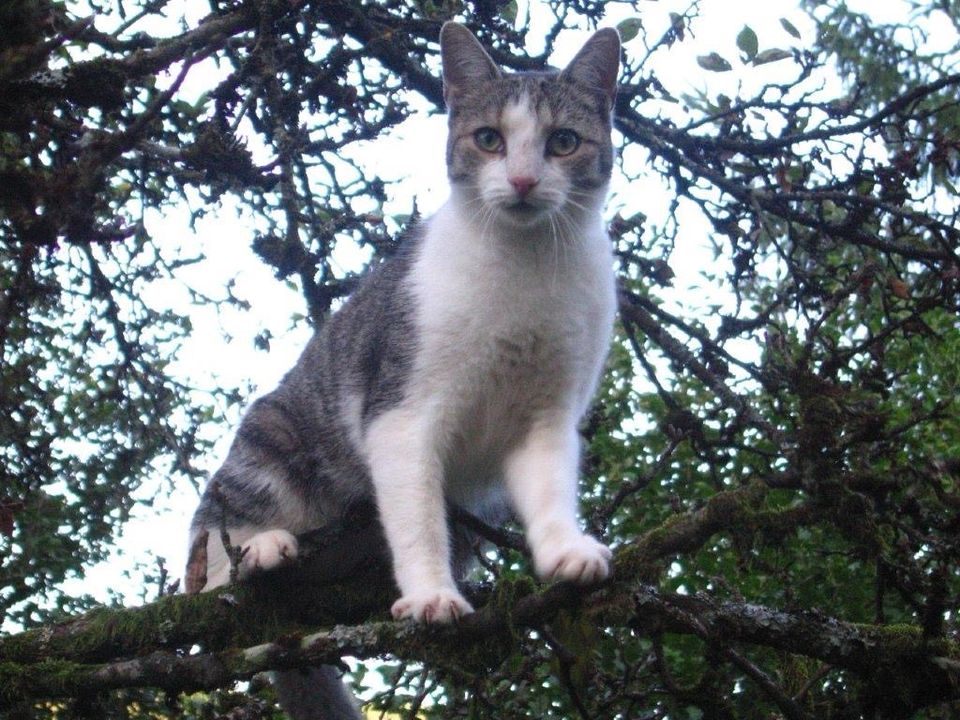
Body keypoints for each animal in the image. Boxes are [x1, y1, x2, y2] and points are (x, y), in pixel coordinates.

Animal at [188, 18, 624, 720]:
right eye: (489, 138)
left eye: (562, 142)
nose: (524, 181)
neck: (525, 263)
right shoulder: (401, 408)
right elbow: (417, 515)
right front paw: (430, 597)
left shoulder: (547, 415)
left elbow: (550, 487)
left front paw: (564, 550)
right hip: (271, 438)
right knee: (210, 554)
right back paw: (259, 552)